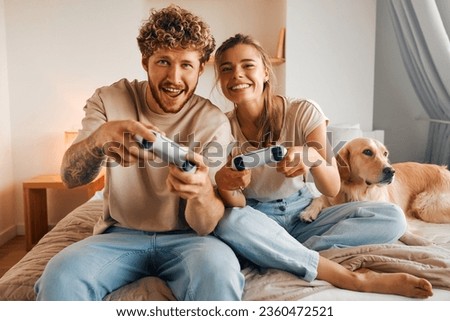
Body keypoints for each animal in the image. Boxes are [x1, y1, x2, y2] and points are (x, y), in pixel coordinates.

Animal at [300, 136, 450, 229]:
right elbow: (319, 198)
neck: (358, 190)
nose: (391, 171)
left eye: (385, 154)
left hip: (425, 206)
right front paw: (308, 212)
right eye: (367, 152)